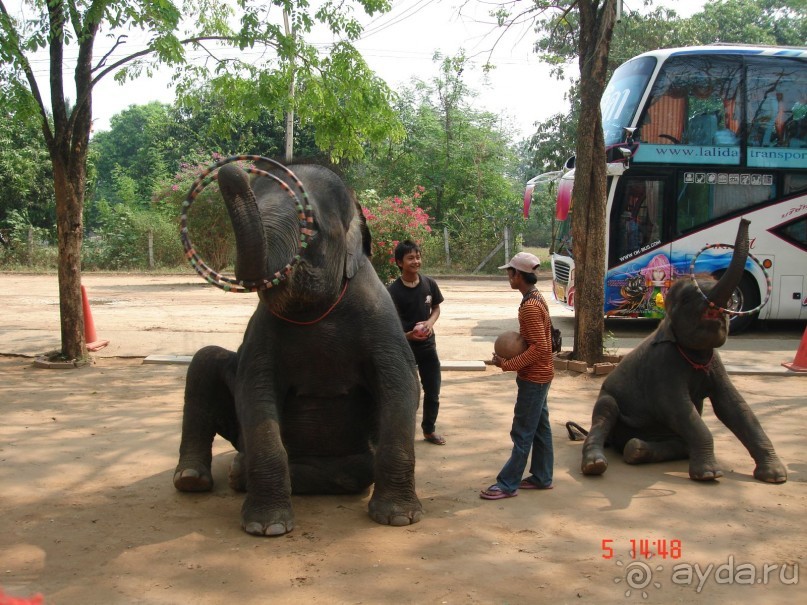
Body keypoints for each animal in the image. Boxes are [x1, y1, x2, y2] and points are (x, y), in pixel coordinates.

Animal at [171, 159, 422, 532]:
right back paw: (197, 478)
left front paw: (399, 518)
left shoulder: (381, 317)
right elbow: (255, 390)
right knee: (205, 359)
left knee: (354, 472)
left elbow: (401, 383)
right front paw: (268, 527)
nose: (232, 168)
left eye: (311, 228)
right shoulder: (263, 330)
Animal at [584, 219, 784, 484]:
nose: (746, 220)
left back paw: (636, 449)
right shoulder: (663, 365)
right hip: (608, 401)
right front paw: (709, 474)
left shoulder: (716, 364)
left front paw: (775, 475)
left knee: (677, 445)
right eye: (688, 299)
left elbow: (735, 407)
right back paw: (596, 464)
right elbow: (677, 408)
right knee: (606, 410)